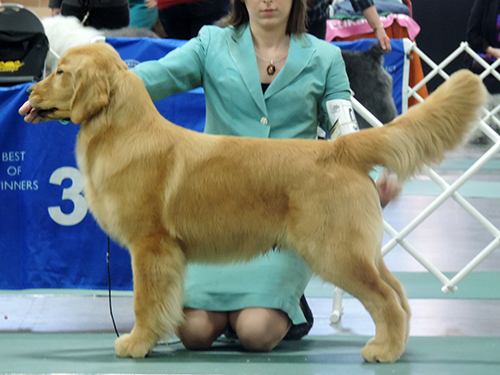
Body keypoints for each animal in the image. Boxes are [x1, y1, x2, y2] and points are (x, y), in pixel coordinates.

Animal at [25, 42, 486, 362]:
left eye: (61, 71)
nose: (29, 90)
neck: (122, 131)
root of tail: (340, 147)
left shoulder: (150, 246)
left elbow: (144, 301)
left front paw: (137, 343)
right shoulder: (164, 254)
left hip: (336, 252)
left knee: (387, 300)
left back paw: (384, 351)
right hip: (359, 250)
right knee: (399, 295)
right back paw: (397, 344)